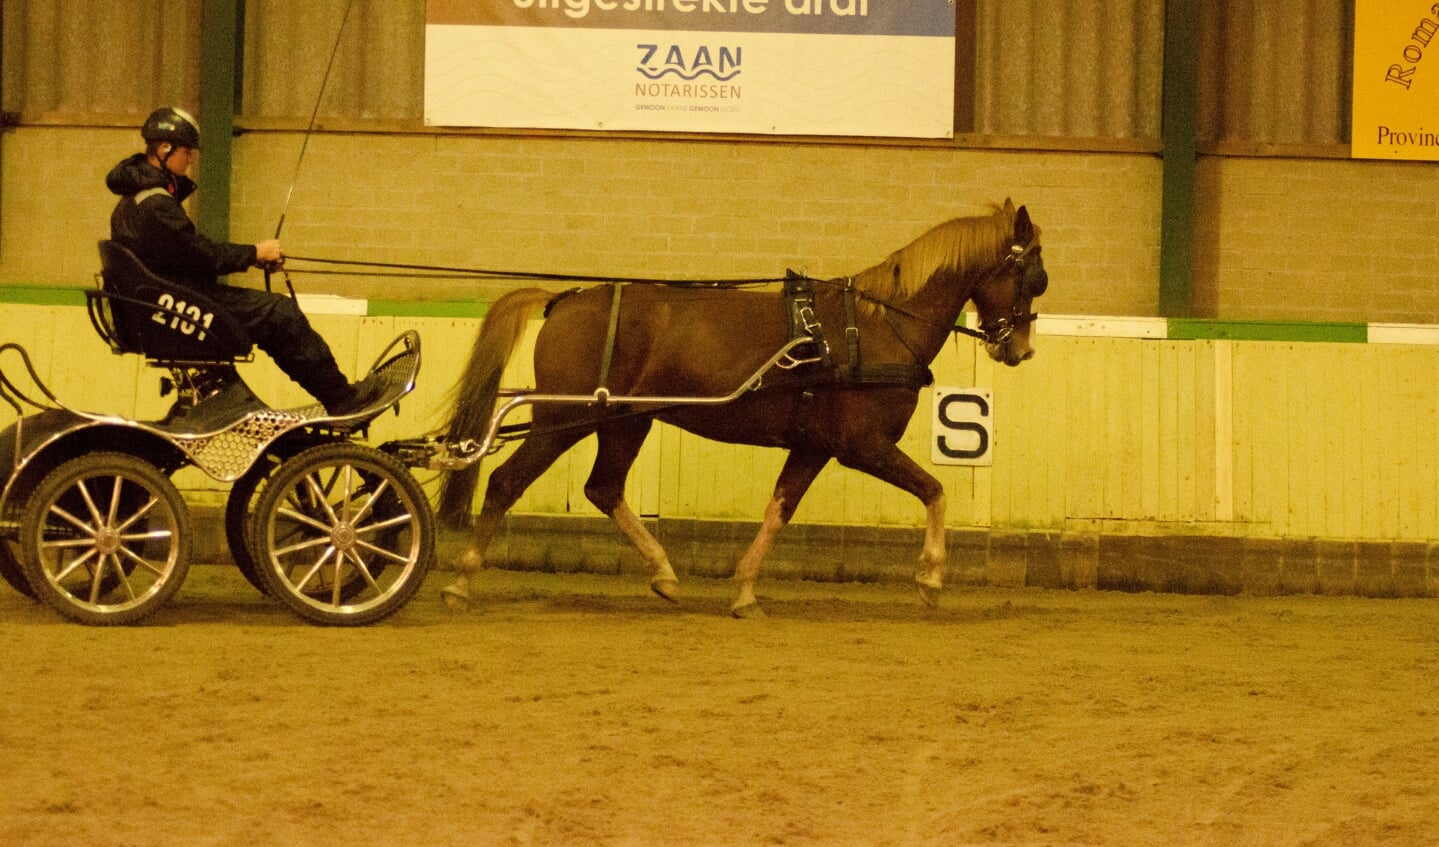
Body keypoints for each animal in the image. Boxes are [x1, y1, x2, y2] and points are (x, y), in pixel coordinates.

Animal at [434, 201, 1047, 618]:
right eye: (1033, 277)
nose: (1020, 350)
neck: (875, 328)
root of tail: (565, 299)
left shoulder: (813, 446)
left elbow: (780, 508)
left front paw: (746, 589)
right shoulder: (862, 446)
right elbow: (935, 490)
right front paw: (932, 579)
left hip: (624, 420)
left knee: (603, 489)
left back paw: (665, 574)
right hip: (562, 420)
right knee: (506, 482)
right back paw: (461, 581)